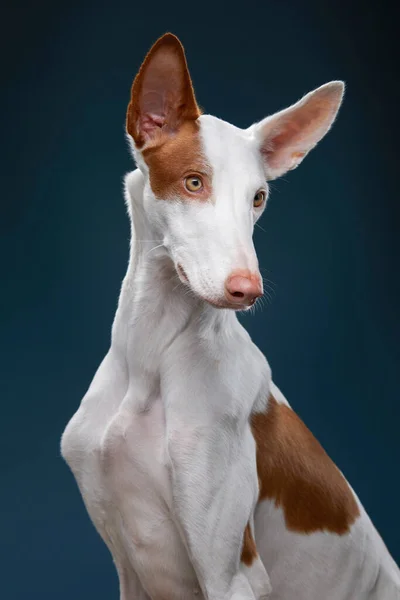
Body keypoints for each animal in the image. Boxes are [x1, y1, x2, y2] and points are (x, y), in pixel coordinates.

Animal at [60, 32, 400, 600]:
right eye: (194, 182)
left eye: (258, 197)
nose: (248, 289)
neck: (152, 353)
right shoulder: (128, 569)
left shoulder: (230, 573)